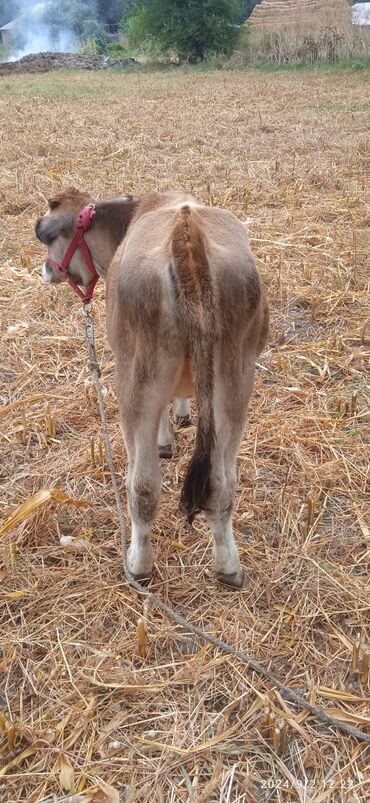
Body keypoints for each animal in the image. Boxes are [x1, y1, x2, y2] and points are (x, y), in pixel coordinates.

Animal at [35, 191, 268, 588]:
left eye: (49, 237)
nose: (47, 270)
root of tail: (185, 230)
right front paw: (183, 414)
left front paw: (166, 440)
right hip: (236, 380)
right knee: (221, 483)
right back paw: (229, 568)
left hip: (135, 379)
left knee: (142, 485)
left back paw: (138, 565)